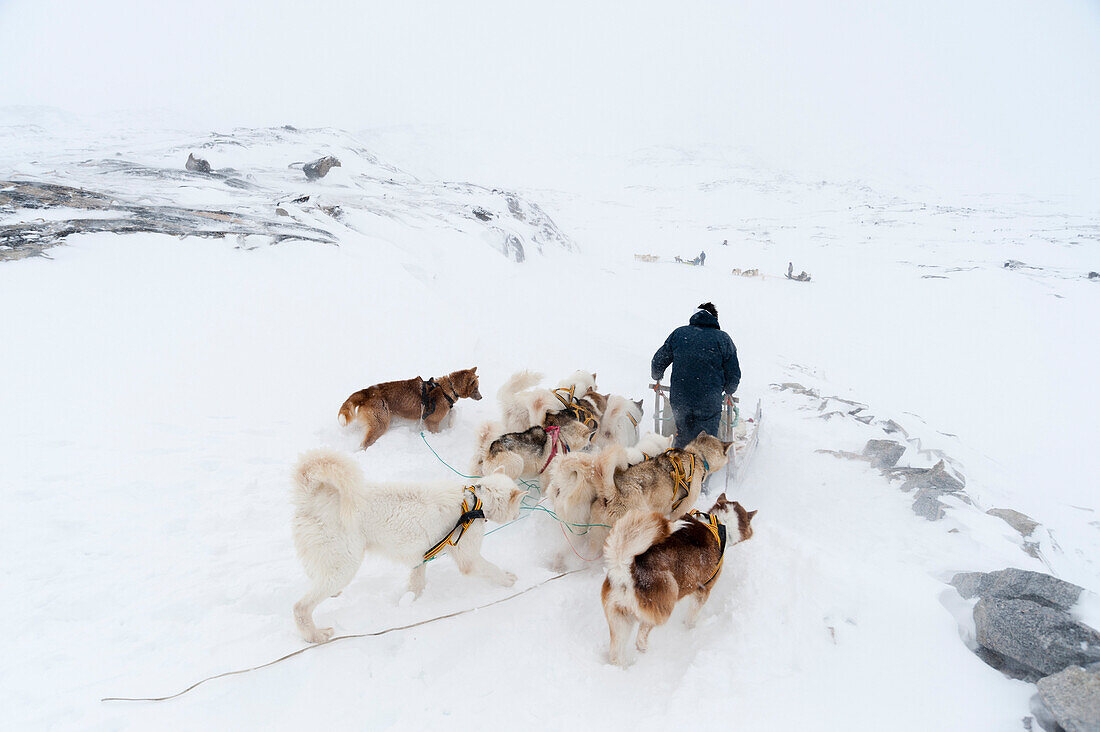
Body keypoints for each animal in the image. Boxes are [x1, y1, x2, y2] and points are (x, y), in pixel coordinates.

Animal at [288, 444, 519, 638]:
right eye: (518, 503)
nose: (517, 516)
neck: (475, 502)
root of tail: (312, 498)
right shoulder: (469, 559)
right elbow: (491, 569)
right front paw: (508, 579)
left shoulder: (422, 556)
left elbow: (416, 583)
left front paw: (411, 600)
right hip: (343, 567)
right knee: (300, 607)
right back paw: (314, 635)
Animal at [602, 493, 756, 664]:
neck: (719, 523)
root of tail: (626, 568)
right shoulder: (703, 589)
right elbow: (692, 616)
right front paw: (691, 627)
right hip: (666, 599)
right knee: (642, 635)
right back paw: (643, 648)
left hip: (619, 617)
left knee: (616, 650)